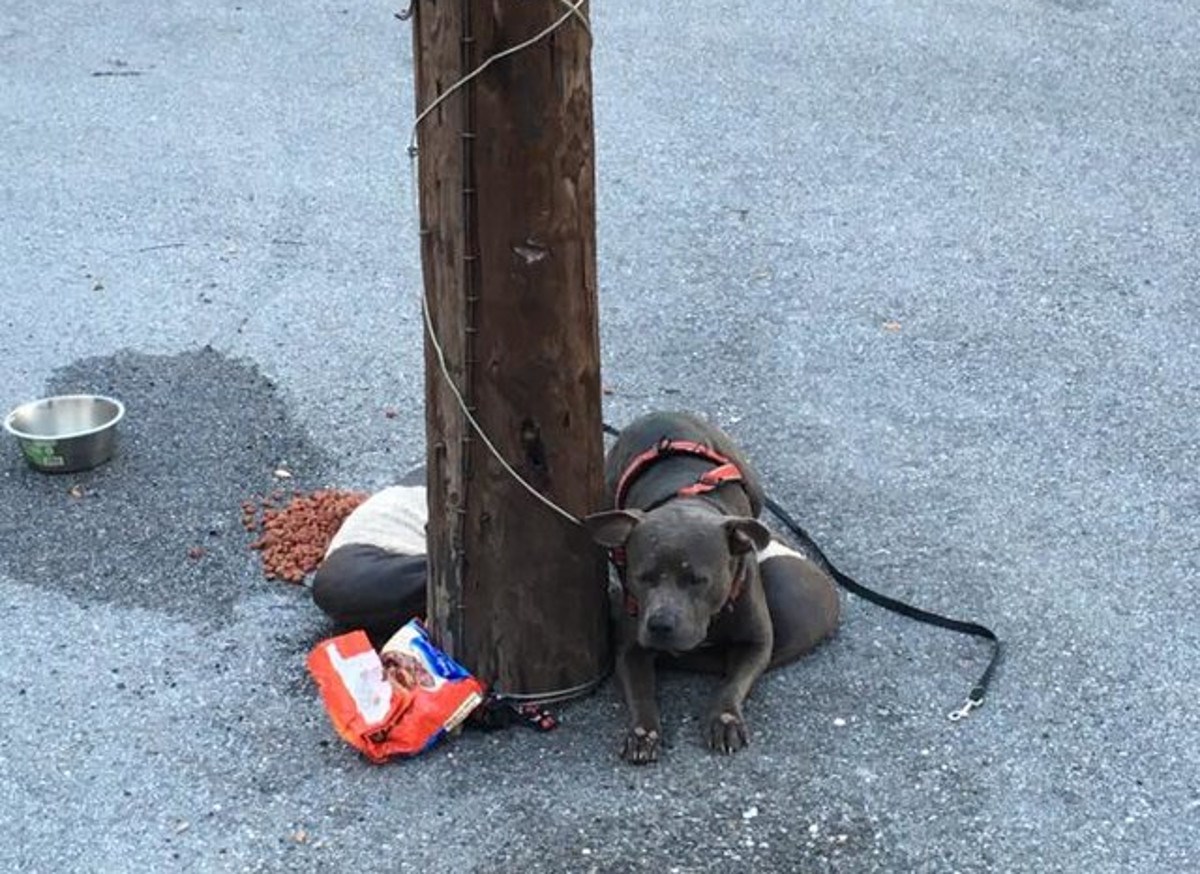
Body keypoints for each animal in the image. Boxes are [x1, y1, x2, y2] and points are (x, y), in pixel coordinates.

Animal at [585, 412, 840, 763]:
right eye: (643, 577)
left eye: (697, 579)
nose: (660, 624)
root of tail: (659, 413)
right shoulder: (630, 647)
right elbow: (640, 692)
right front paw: (643, 731)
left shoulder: (757, 642)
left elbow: (733, 683)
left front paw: (725, 719)